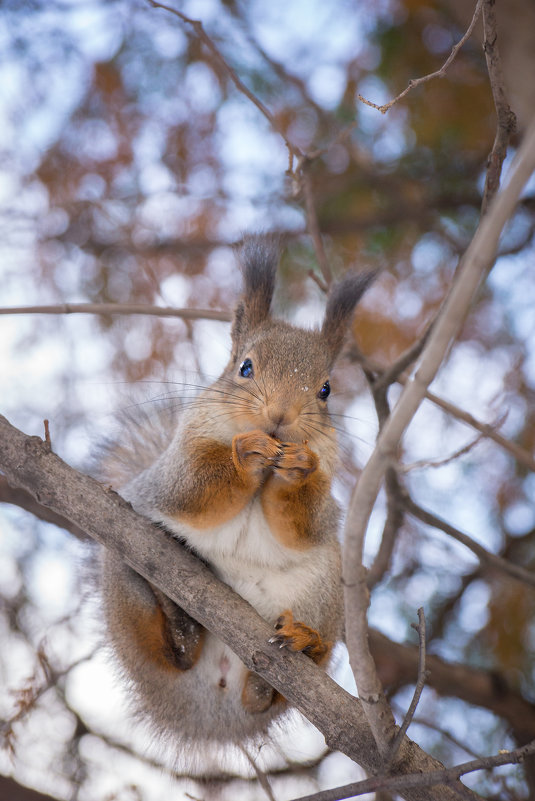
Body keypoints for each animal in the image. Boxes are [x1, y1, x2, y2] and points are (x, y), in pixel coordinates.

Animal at [98, 234, 374, 748]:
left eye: (326, 389)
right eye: (245, 367)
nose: (280, 416)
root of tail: (211, 710)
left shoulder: (326, 503)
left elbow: (306, 524)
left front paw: (297, 468)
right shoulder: (172, 472)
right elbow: (194, 488)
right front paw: (245, 453)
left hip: (325, 590)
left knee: (268, 693)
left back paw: (291, 658)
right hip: (122, 563)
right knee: (166, 652)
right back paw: (181, 626)